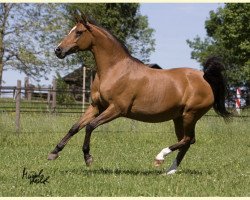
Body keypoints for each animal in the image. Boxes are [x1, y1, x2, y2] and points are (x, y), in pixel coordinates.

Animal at [48, 14, 230, 175]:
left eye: (79, 32)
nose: (58, 50)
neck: (115, 70)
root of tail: (205, 77)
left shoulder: (116, 109)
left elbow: (90, 126)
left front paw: (88, 158)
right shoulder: (96, 106)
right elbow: (75, 127)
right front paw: (53, 153)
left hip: (190, 115)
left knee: (188, 139)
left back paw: (160, 158)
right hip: (179, 117)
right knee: (186, 141)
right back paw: (169, 171)